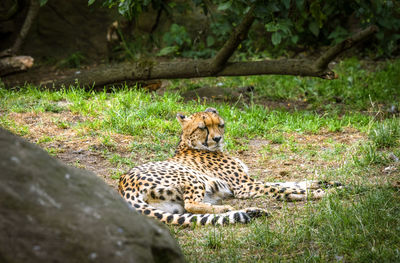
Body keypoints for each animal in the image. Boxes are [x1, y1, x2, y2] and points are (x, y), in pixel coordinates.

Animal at [119, 108, 340, 228]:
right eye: (203, 127)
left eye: (220, 125)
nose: (217, 138)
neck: (190, 144)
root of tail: (122, 186)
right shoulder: (244, 186)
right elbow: (281, 188)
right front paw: (325, 192)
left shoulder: (249, 181)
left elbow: (291, 182)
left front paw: (328, 183)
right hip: (191, 177)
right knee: (191, 204)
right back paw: (224, 208)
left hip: (173, 207)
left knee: (190, 212)